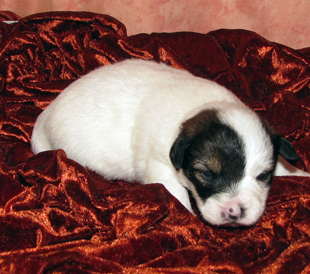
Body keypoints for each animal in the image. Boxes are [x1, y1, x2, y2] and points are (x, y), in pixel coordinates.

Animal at [32, 58, 310, 227]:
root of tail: (45, 116)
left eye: (263, 176)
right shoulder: (161, 166)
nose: (235, 212)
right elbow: (178, 196)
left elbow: (286, 166)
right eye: (206, 174)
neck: (200, 108)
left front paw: (300, 173)